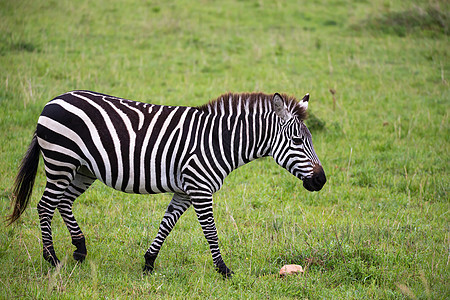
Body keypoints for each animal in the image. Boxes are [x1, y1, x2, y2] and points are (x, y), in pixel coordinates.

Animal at [7, 90, 326, 278]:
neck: (220, 141)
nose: (321, 181)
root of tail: (53, 100)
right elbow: (211, 232)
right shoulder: (200, 187)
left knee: (63, 201)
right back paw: (52, 259)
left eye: (309, 140)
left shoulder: (185, 190)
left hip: (83, 169)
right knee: (45, 205)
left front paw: (148, 262)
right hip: (61, 161)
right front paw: (223, 269)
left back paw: (80, 249)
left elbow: (167, 223)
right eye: (297, 141)